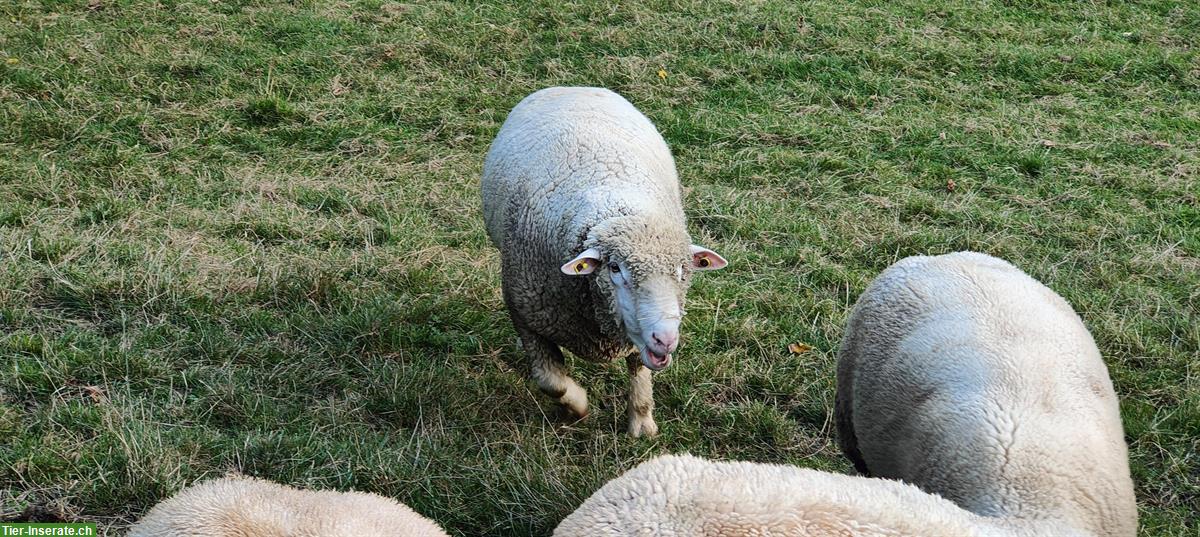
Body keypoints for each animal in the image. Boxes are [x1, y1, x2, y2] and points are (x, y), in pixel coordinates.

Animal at [480, 85, 724, 436]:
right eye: (614, 268)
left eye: (683, 271)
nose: (665, 339)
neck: (614, 203)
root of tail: (573, 87)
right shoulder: (526, 313)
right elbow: (550, 381)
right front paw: (579, 407)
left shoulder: (635, 338)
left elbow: (639, 370)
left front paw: (641, 422)